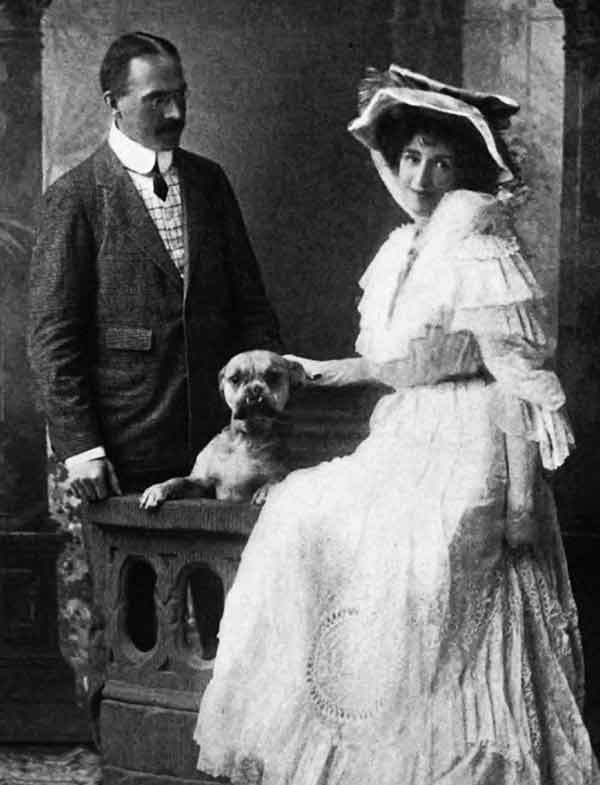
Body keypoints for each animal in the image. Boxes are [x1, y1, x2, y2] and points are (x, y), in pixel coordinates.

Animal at [139, 350, 305, 509]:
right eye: (235, 379)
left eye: (273, 376)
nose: (254, 389)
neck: (246, 437)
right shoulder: (203, 484)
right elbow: (178, 480)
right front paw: (158, 488)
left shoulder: (279, 474)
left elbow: (275, 481)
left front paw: (266, 491)